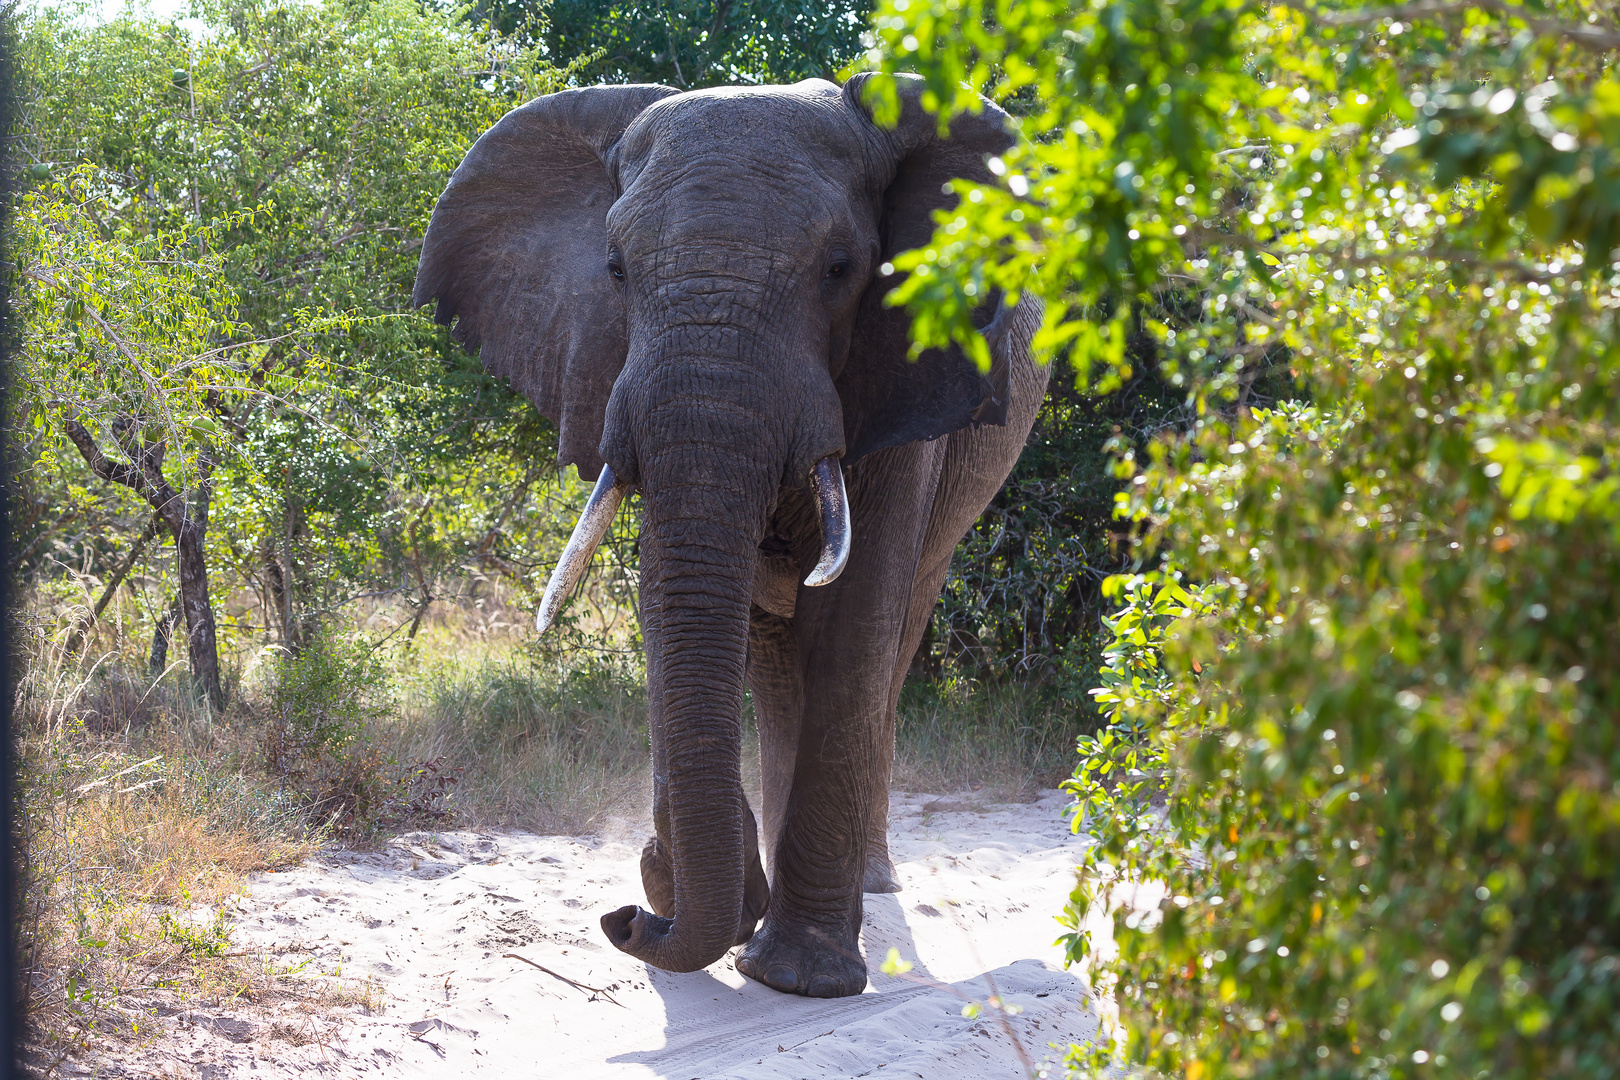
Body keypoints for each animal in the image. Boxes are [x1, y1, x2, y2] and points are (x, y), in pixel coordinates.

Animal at [414, 71, 1049, 1003]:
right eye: (615, 269)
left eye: (840, 269)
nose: (625, 922)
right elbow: (674, 602)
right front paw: (685, 885)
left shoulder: (905, 376)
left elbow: (854, 623)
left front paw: (799, 978)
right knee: (778, 664)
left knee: (890, 641)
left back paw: (868, 887)